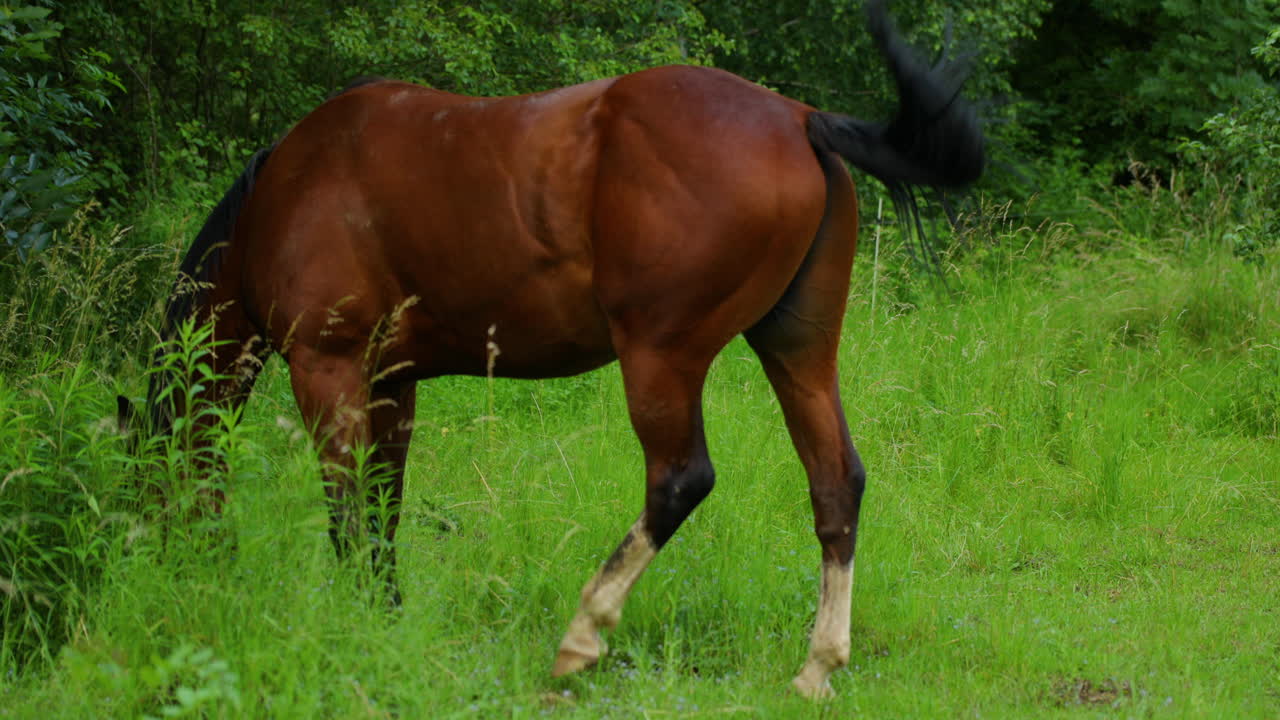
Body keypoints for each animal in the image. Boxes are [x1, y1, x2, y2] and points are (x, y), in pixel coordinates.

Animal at [118, 0, 983, 698]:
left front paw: (355, 620)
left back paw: (582, 634)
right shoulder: (393, 381)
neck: (284, 197)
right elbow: (384, 504)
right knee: (836, 482)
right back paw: (815, 668)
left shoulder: (326, 369)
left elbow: (348, 508)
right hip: (797, 348)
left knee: (680, 481)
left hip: (661, 358)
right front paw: (385, 614)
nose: (167, 572)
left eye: (145, 477)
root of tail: (799, 118)